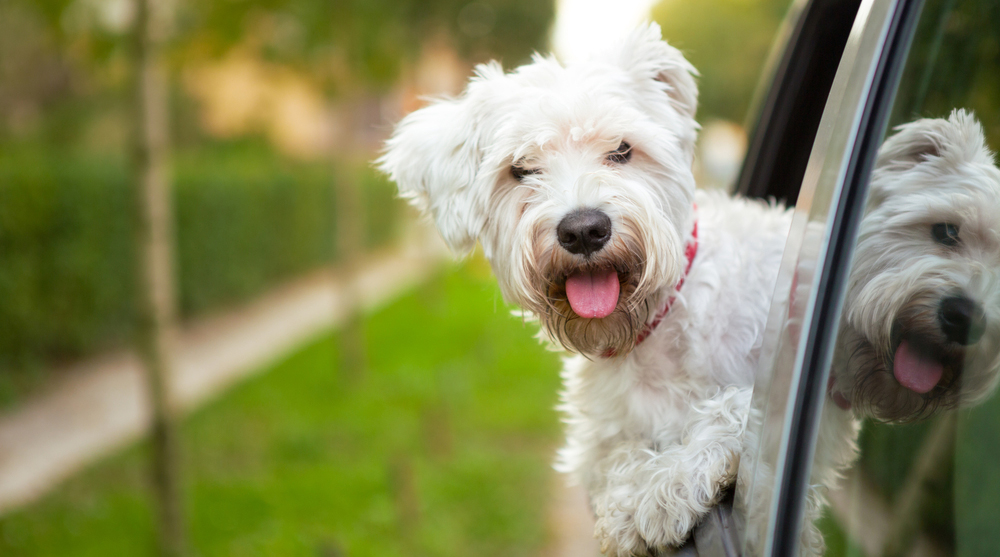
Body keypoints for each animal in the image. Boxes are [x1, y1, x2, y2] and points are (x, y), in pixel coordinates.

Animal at [378, 23, 792, 552]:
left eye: (622, 150)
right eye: (521, 169)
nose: (583, 231)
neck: (650, 333)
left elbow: (733, 409)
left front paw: (658, 494)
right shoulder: (598, 442)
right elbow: (612, 459)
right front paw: (631, 496)